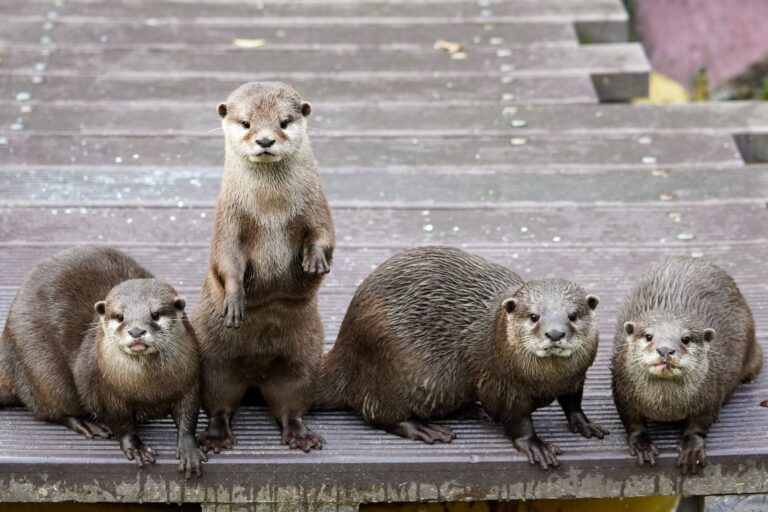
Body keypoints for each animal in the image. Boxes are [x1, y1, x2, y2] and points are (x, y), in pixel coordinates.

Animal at [0, 246, 206, 478]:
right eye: (119, 316)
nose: (136, 331)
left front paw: (189, 449)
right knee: (53, 410)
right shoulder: (107, 390)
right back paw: (87, 424)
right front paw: (136, 447)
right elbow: (121, 422)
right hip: (42, 371)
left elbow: (189, 415)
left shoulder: (190, 382)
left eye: (156, 314)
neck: (149, 389)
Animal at [194, 82, 334, 453]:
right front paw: (235, 299)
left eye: (284, 122)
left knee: (291, 402)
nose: (266, 140)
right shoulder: (229, 220)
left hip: (304, 357)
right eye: (246, 123)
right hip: (214, 359)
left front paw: (315, 260)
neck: (271, 208)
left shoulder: (316, 206)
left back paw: (300, 435)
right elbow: (226, 259)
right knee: (219, 400)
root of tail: (255, 377)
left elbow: (324, 236)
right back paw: (216, 436)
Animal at [316, 246, 605, 470]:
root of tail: (344, 345)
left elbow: (573, 401)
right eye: (534, 316)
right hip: (391, 368)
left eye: (573, 315)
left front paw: (584, 423)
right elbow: (516, 419)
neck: (548, 381)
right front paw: (534, 444)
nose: (555, 333)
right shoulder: (501, 384)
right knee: (376, 412)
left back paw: (472, 410)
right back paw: (424, 429)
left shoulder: (577, 377)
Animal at [611, 256, 762, 475]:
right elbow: (632, 422)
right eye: (648, 336)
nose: (665, 349)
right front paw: (642, 445)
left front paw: (692, 449)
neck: (665, 407)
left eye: (686, 339)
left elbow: (699, 425)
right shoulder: (623, 392)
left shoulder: (709, 394)